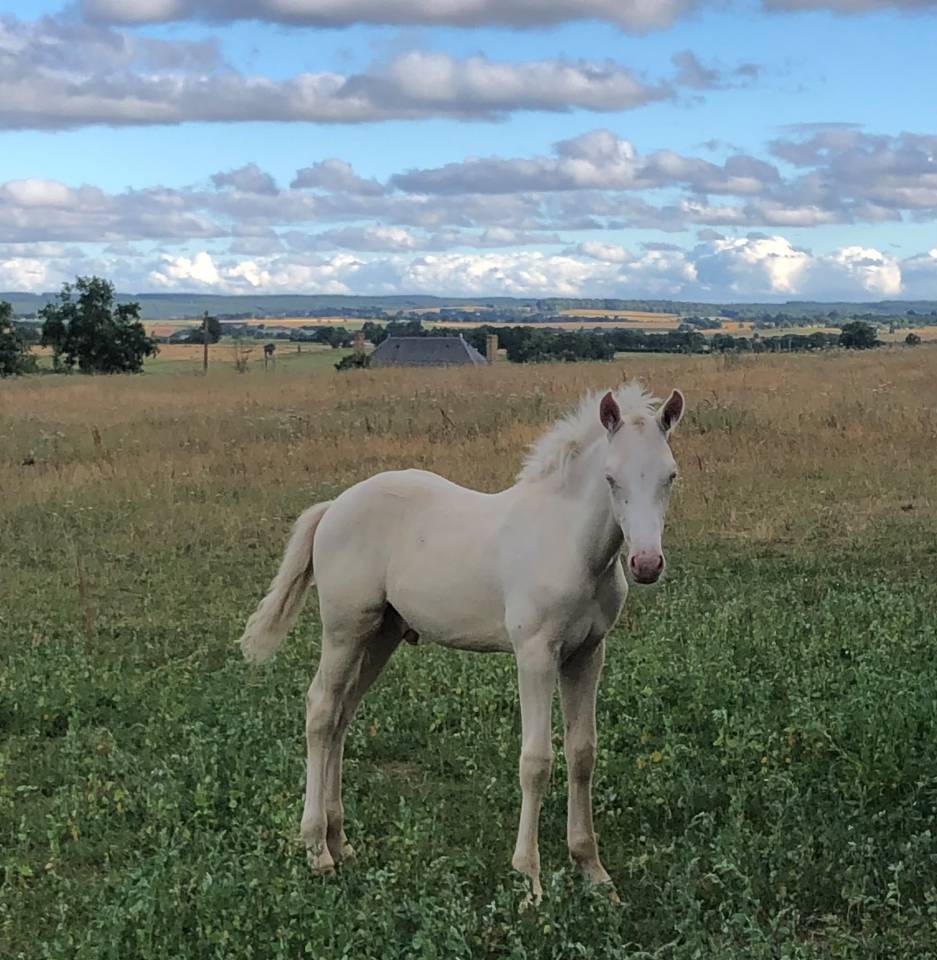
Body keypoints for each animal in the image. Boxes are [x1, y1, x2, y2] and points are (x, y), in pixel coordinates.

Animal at [239, 382, 685, 903]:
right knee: (321, 711)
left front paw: (593, 871)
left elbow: (582, 754)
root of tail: (333, 506)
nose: (646, 564)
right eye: (611, 479)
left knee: (342, 717)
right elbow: (536, 760)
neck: (568, 544)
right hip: (345, 629)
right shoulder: (535, 654)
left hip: (381, 635)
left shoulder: (587, 655)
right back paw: (317, 850)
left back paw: (340, 841)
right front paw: (529, 880)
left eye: (670, 476)